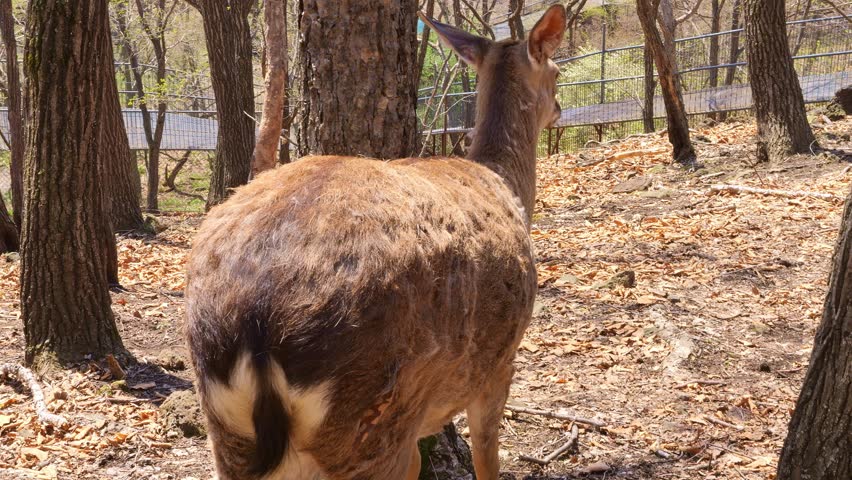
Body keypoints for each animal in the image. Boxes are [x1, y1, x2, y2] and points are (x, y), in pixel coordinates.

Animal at [185, 5, 566, 479]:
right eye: (556, 68)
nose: (560, 108)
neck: (505, 184)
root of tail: (255, 320)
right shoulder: (499, 363)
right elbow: (486, 457)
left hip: (227, 436)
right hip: (378, 419)